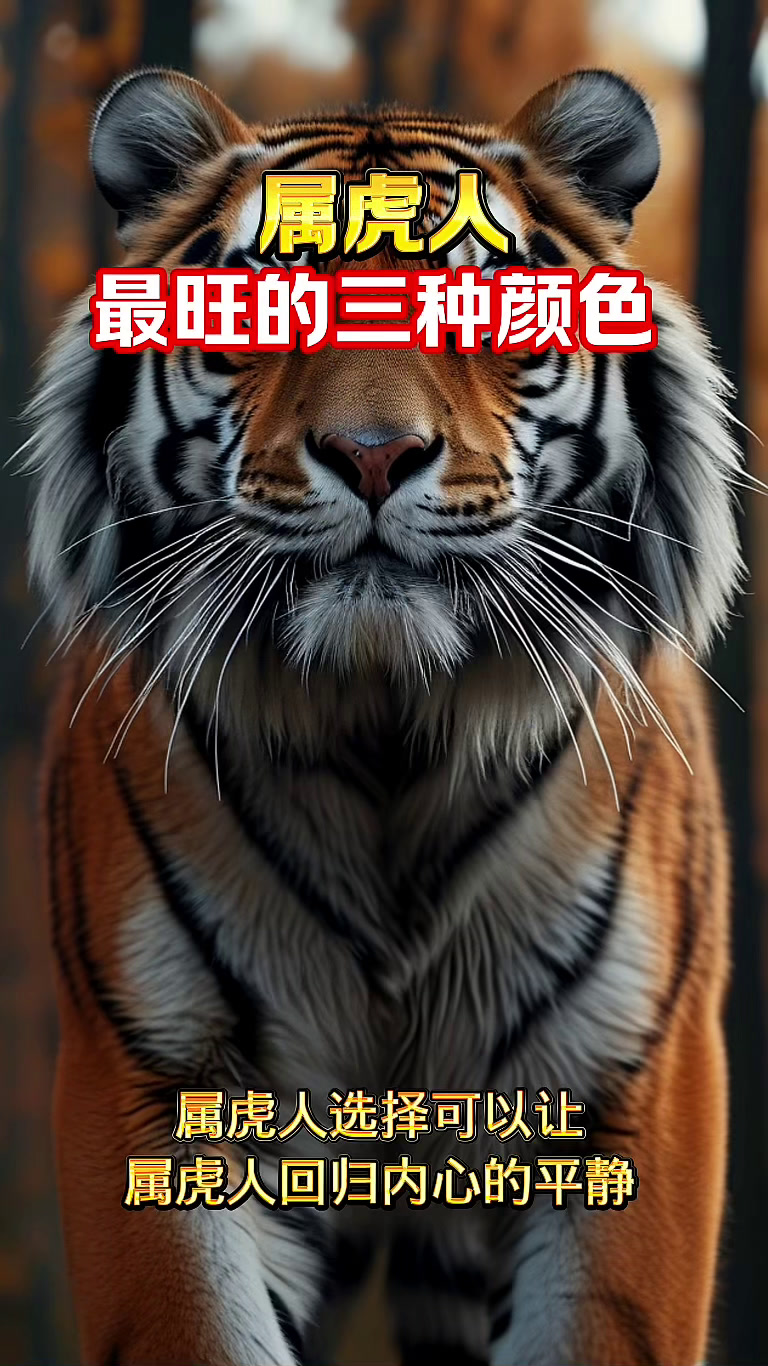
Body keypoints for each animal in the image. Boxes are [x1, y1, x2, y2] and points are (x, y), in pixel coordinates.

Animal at [24, 64, 743, 1366]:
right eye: (266, 306)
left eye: (476, 304)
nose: (372, 453)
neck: (388, 729)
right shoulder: (153, 1074)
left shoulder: (632, 1084)